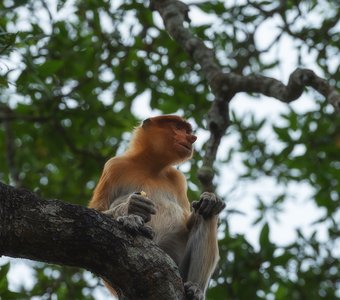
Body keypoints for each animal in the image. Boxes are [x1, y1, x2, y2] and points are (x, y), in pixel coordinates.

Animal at [89, 115, 224, 300]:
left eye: (187, 130)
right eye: (178, 127)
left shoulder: (178, 179)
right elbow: (97, 211)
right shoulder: (114, 166)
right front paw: (132, 207)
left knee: (207, 215)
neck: (151, 166)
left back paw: (195, 288)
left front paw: (211, 199)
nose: (192, 138)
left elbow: (189, 219)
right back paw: (134, 221)